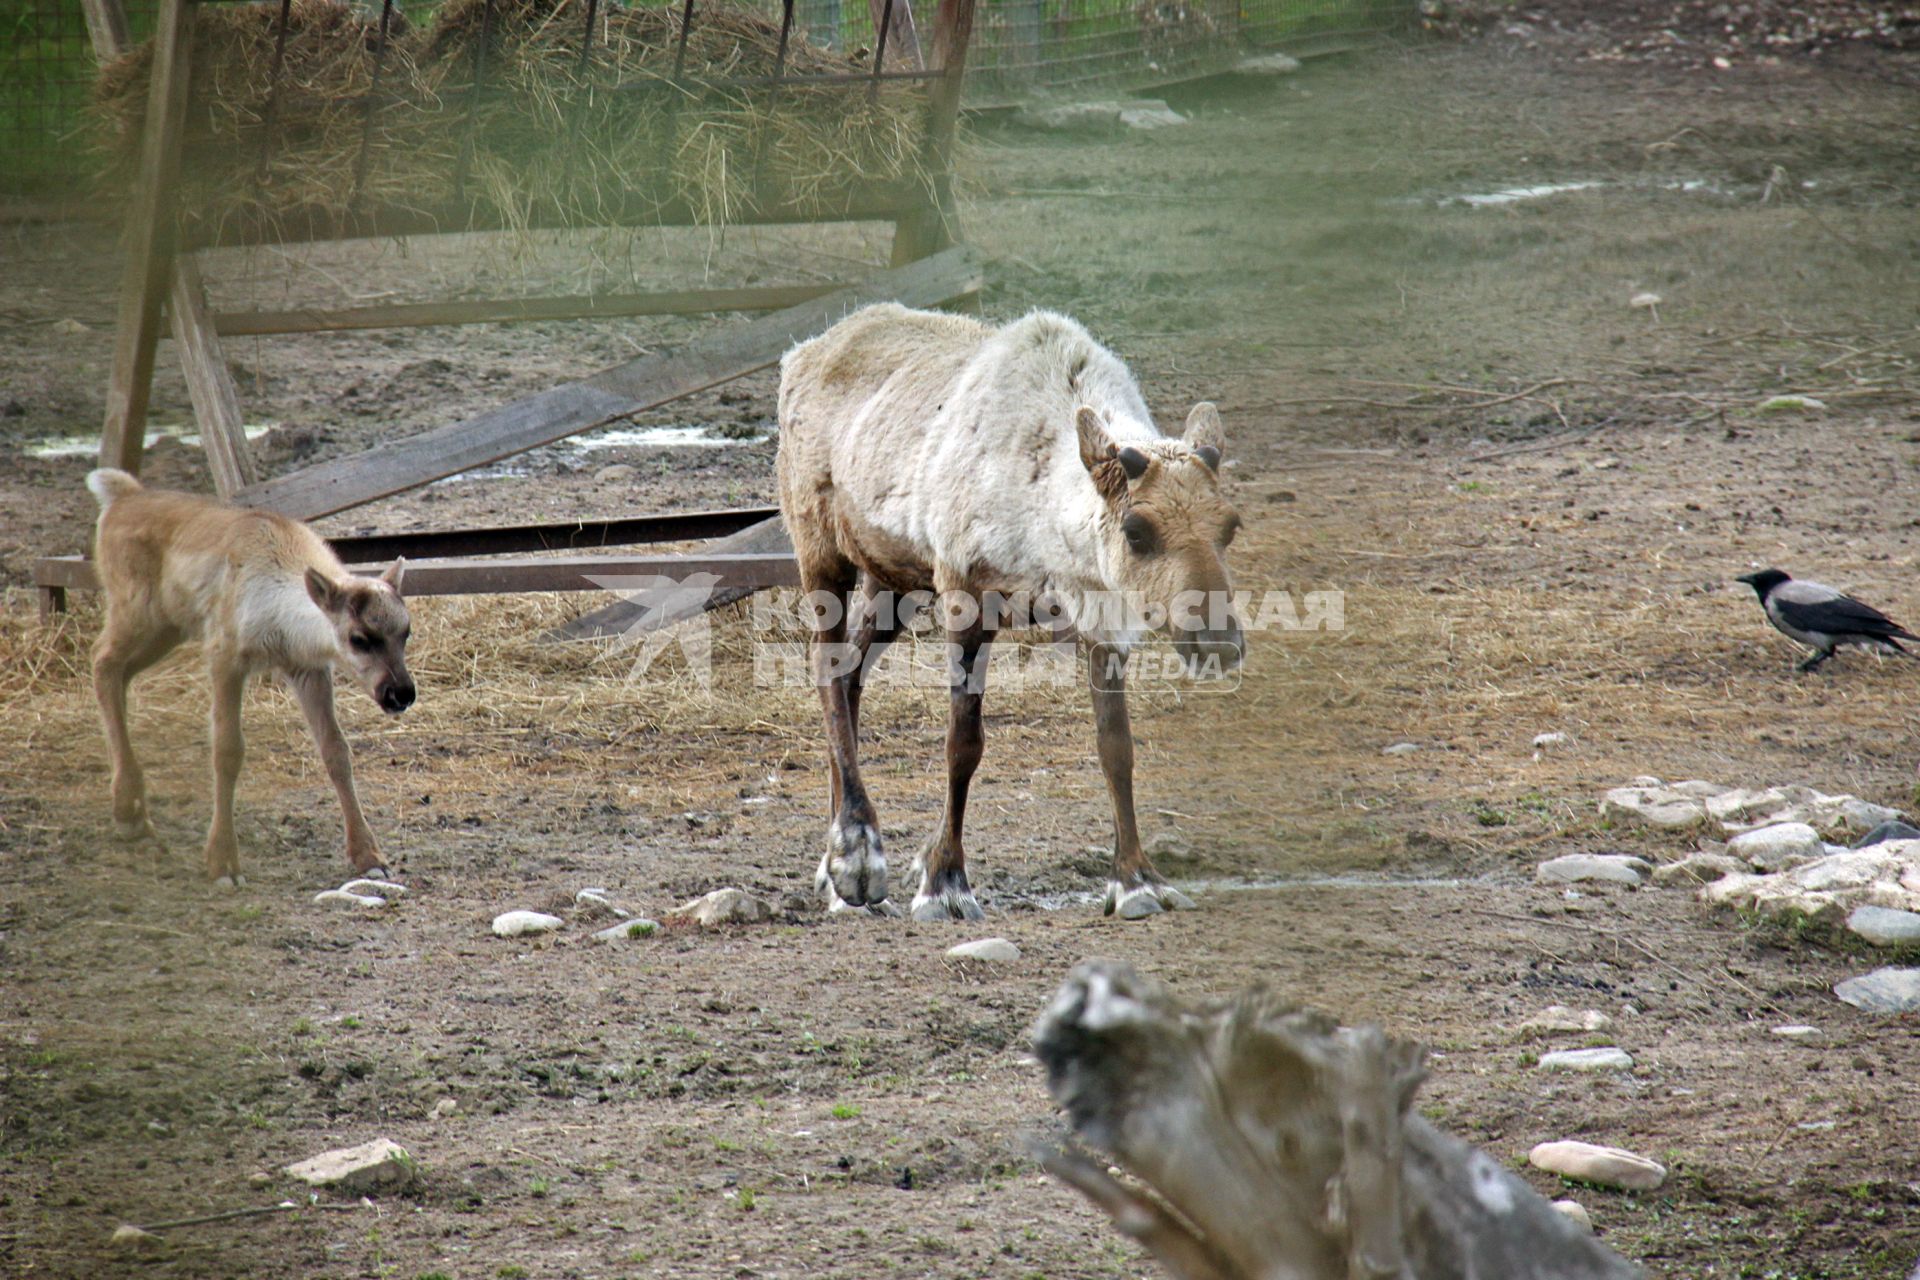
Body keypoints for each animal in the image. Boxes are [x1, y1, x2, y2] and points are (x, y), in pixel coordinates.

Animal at [88, 466, 414, 886]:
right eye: (359, 638)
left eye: (406, 631)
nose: (400, 693)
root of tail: (120, 494)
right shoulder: (226, 656)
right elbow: (228, 750)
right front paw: (223, 863)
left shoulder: (307, 668)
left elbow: (336, 750)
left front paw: (370, 857)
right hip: (137, 613)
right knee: (102, 661)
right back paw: (129, 812)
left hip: (166, 629)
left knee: (117, 673)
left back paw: (134, 810)